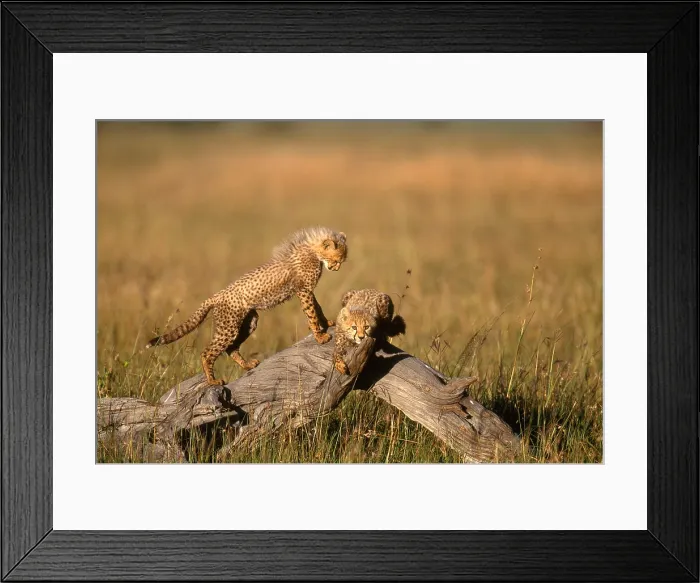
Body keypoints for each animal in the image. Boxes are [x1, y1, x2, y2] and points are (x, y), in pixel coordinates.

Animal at [146, 226, 348, 386]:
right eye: (337, 259)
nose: (337, 268)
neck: (313, 251)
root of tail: (217, 295)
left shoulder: (306, 290)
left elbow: (317, 308)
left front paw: (327, 323)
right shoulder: (304, 290)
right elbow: (311, 312)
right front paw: (320, 336)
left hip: (248, 321)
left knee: (231, 348)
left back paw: (247, 365)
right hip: (228, 327)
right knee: (208, 352)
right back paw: (212, 381)